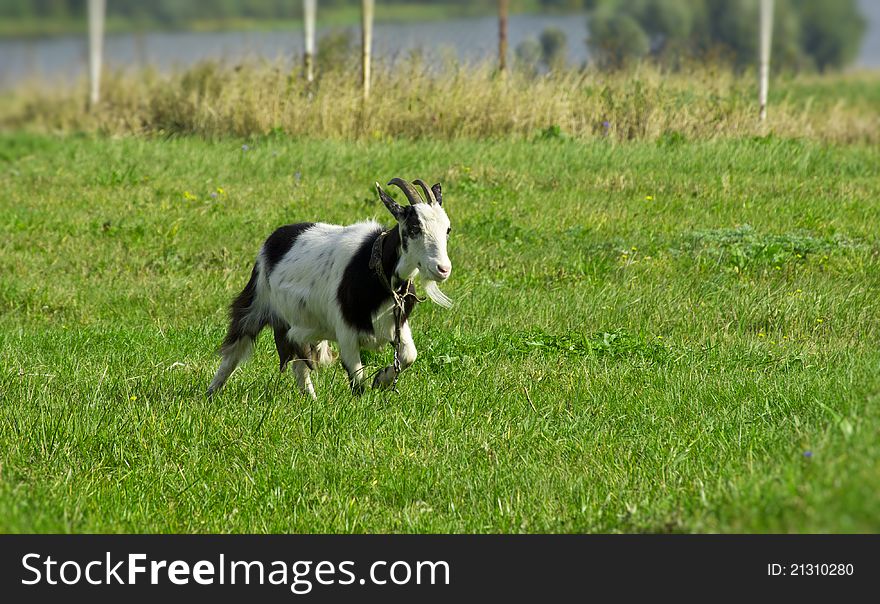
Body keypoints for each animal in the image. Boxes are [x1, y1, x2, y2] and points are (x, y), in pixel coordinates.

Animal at [207, 177, 454, 398]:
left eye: (448, 229)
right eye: (414, 228)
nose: (442, 269)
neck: (375, 268)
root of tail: (273, 239)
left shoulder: (397, 324)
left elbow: (409, 356)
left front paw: (382, 379)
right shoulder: (346, 332)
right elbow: (358, 380)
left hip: (302, 325)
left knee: (299, 360)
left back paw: (311, 400)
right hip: (257, 302)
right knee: (234, 350)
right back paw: (211, 392)